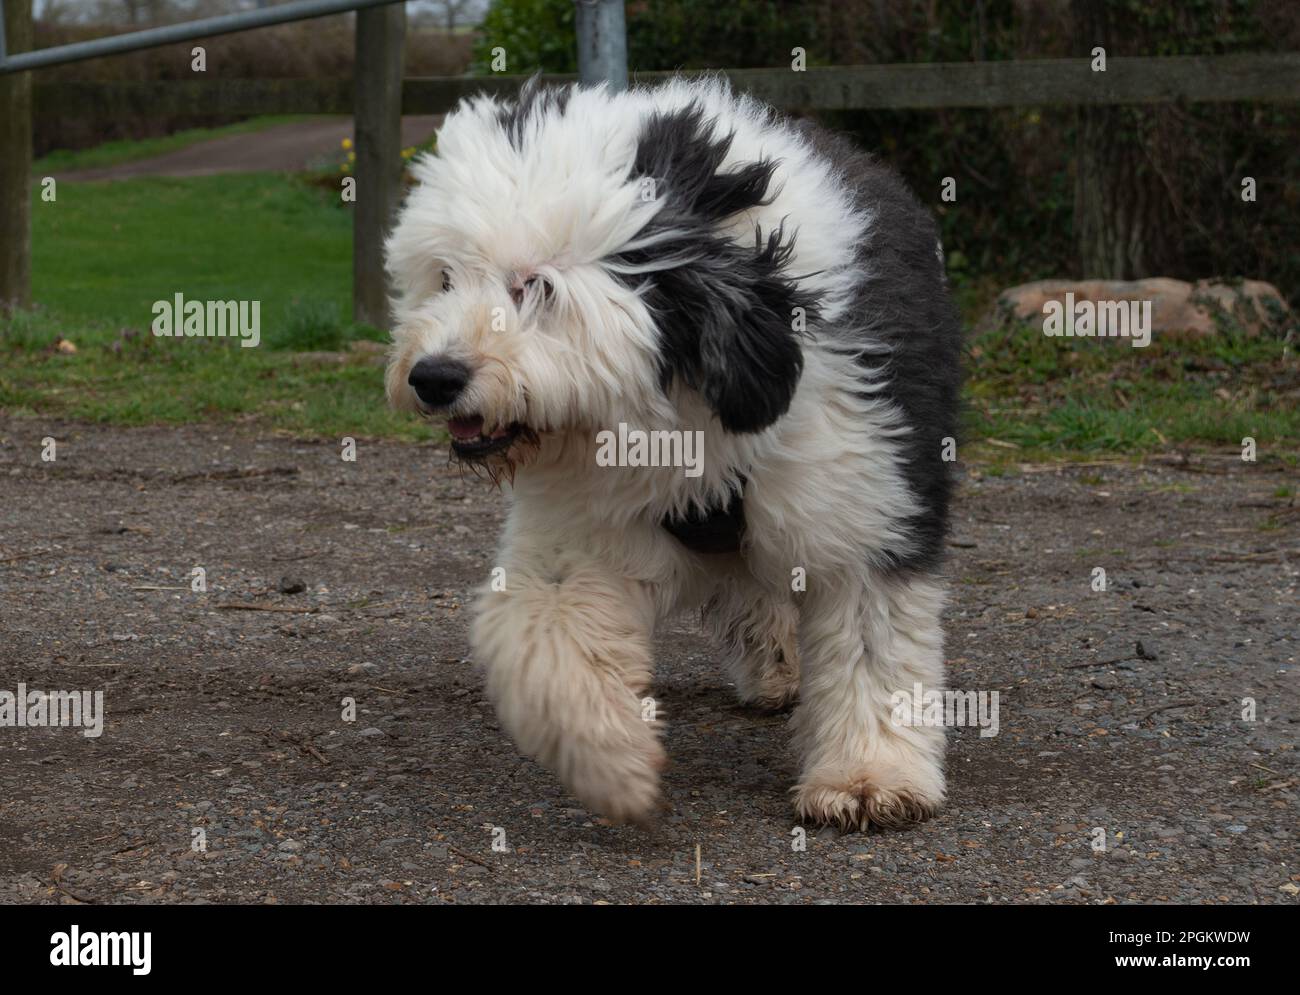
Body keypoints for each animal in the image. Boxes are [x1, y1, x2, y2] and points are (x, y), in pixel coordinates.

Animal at [379, 75, 961, 832]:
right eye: (444, 277)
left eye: (538, 285)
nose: (434, 376)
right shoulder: (586, 524)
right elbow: (552, 633)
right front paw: (610, 763)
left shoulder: (864, 496)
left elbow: (871, 637)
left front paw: (870, 773)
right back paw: (773, 664)